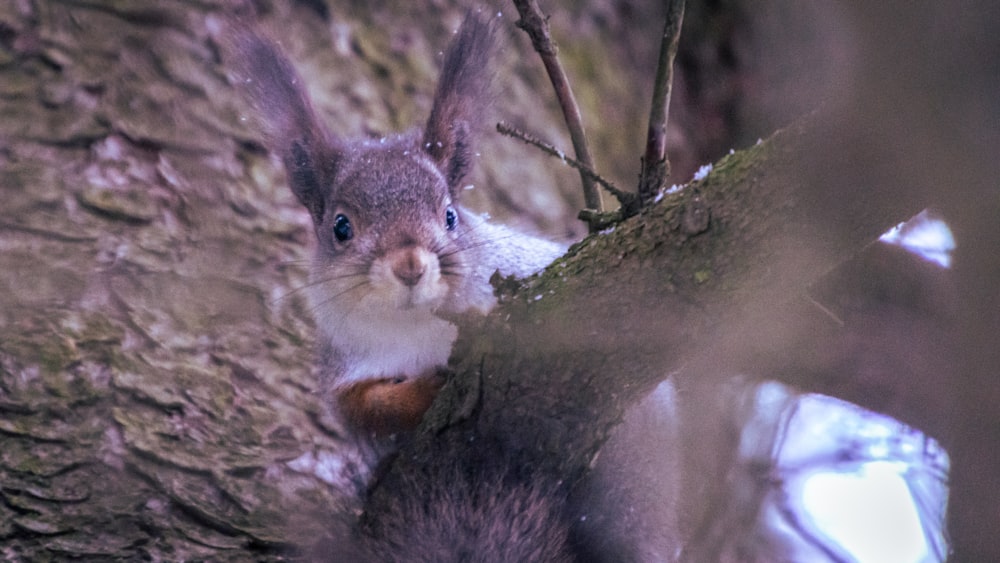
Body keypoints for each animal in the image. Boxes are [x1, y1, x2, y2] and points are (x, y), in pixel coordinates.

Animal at [229, 12, 568, 436]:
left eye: (450, 215)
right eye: (341, 227)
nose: (410, 267)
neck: (412, 326)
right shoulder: (348, 378)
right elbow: (373, 408)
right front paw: (423, 388)